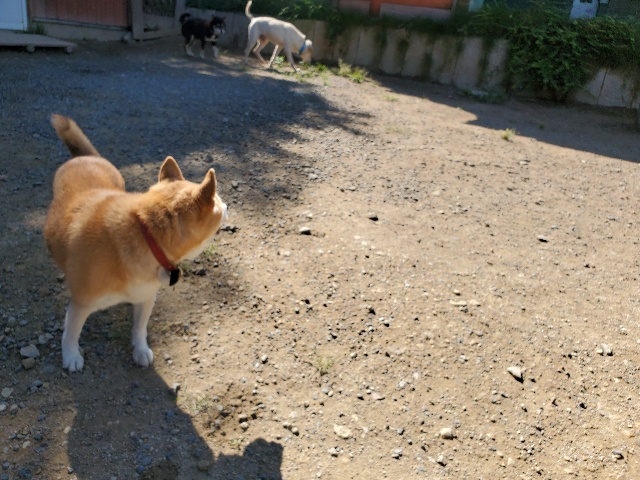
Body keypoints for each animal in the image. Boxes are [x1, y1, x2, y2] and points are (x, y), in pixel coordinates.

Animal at [45, 115, 228, 372]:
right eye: (218, 201)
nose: (228, 206)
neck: (147, 236)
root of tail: (87, 157)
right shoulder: (81, 303)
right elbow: (71, 332)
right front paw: (71, 355)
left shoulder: (146, 296)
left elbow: (140, 328)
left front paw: (140, 350)